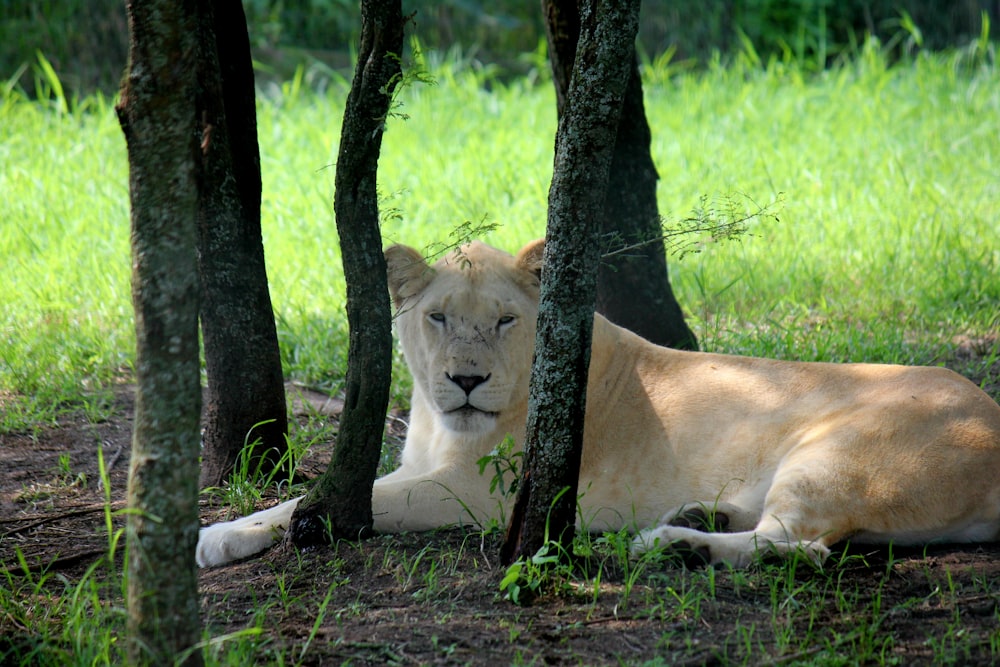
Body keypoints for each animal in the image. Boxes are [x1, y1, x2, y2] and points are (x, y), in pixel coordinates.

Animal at [195, 240, 1000, 568]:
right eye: (438, 318)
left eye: (505, 321)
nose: (465, 380)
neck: (438, 422)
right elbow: (313, 496)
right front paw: (227, 533)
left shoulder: (475, 495)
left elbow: (330, 505)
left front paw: (220, 536)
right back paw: (695, 518)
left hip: (832, 454)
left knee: (796, 547)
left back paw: (673, 544)